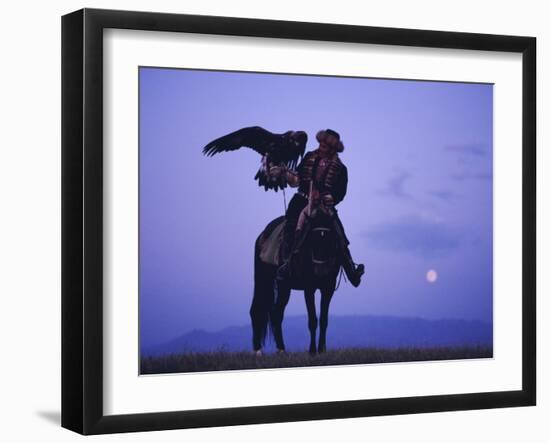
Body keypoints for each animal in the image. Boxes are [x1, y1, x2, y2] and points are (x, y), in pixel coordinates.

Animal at [252, 211, 342, 354]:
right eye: (312, 239)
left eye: (330, 239)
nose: (320, 271)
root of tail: (262, 235)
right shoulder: (309, 287)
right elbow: (312, 320)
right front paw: (312, 351)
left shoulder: (328, 288)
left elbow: (324, 319)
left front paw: (322, 350)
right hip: (264, 279)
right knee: (257, 309)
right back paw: (258, 350)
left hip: (284, 287)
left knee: (276, 313)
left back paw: (281, 349)